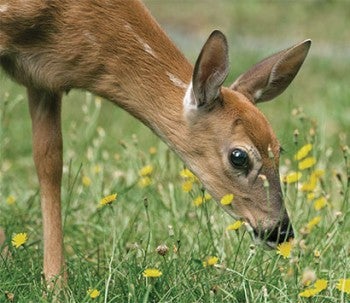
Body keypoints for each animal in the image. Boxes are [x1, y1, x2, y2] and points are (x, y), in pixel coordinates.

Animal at [0, 0, 312, 288]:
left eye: (279, 149)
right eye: (239, 156)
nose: (281, 231)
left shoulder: (44, 80)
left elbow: (49, 163)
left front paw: (55, 285)